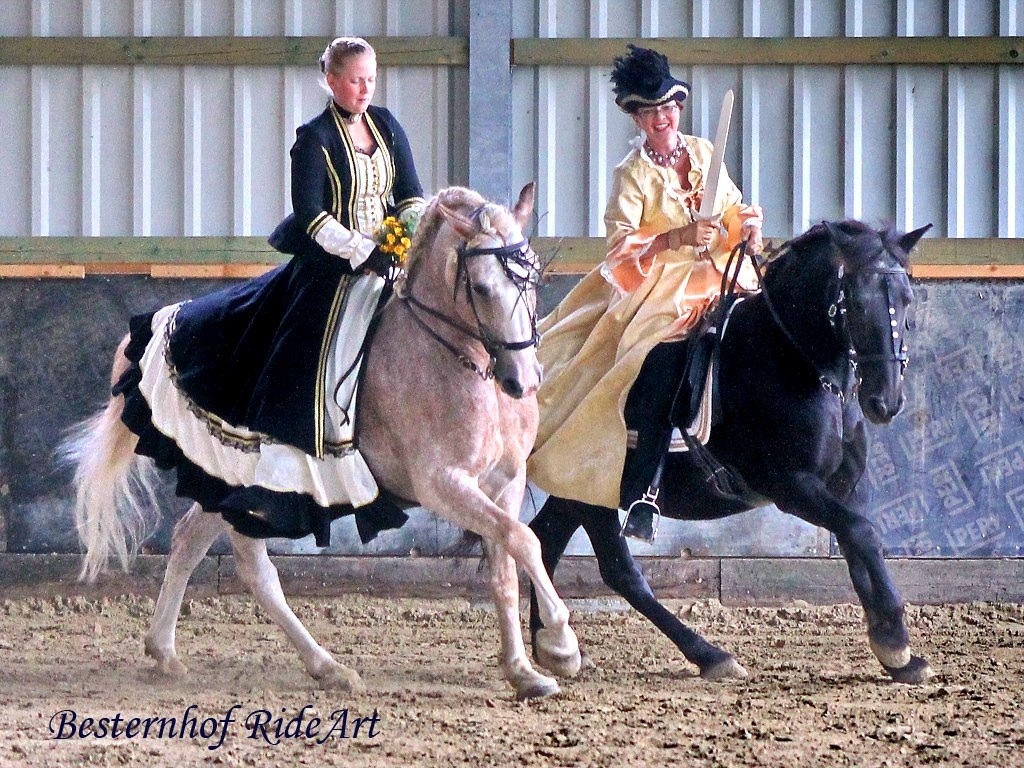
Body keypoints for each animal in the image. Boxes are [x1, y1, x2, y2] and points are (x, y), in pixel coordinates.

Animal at [64, 186, 581, 704]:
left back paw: (166, 653)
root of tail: (167, 317)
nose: (523, 381)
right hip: (248, 492)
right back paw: (328, 667)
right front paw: (560, 643)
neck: (453, 360)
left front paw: (524, 670)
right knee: (256, 571)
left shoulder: (504, 481)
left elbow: (507, 562)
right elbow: (525, 540)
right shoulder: (442, 485)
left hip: (221, 486)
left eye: (534, 278)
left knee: (189, 539)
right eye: (481, 288)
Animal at [528, 221, 937, 684]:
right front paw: (897, 642)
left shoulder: (844, 487)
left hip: (576, 486)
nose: (885, 401)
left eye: (906, 298)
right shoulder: (792, 487)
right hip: (593, 481)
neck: (790, 360)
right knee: (617, 569)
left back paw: (554, 650)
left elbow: (858, 542)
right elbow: (863, 533)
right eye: (855, 301)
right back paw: (710, 656)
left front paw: (894, 653)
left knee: (544, 539)